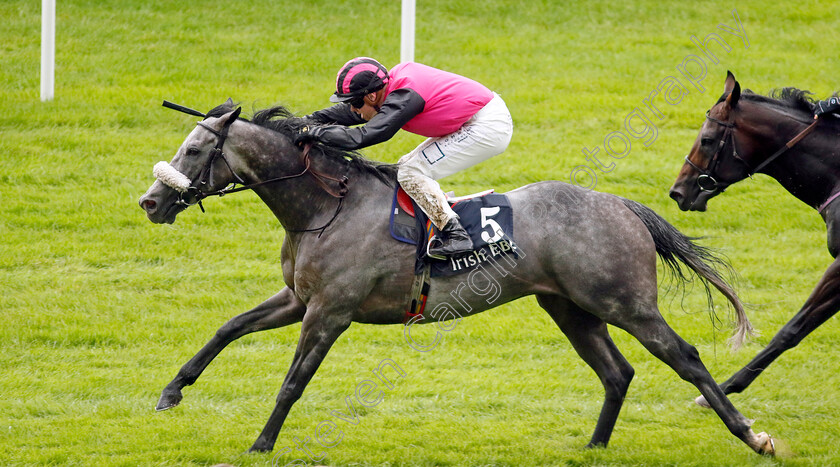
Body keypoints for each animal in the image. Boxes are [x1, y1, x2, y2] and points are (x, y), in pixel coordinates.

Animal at [138, 101, 776, 458]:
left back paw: (754, 437)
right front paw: (172, 392)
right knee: (617, 372)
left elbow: (293, 382)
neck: (325, 206)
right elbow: (228, 328)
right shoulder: (299, 299)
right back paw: (594, 447)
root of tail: (621, 204)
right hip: (570, 308)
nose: (150, 202)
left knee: (685, 358)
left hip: (627, 304)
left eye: (194, 149)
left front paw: (261, 443)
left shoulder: (330, 312)